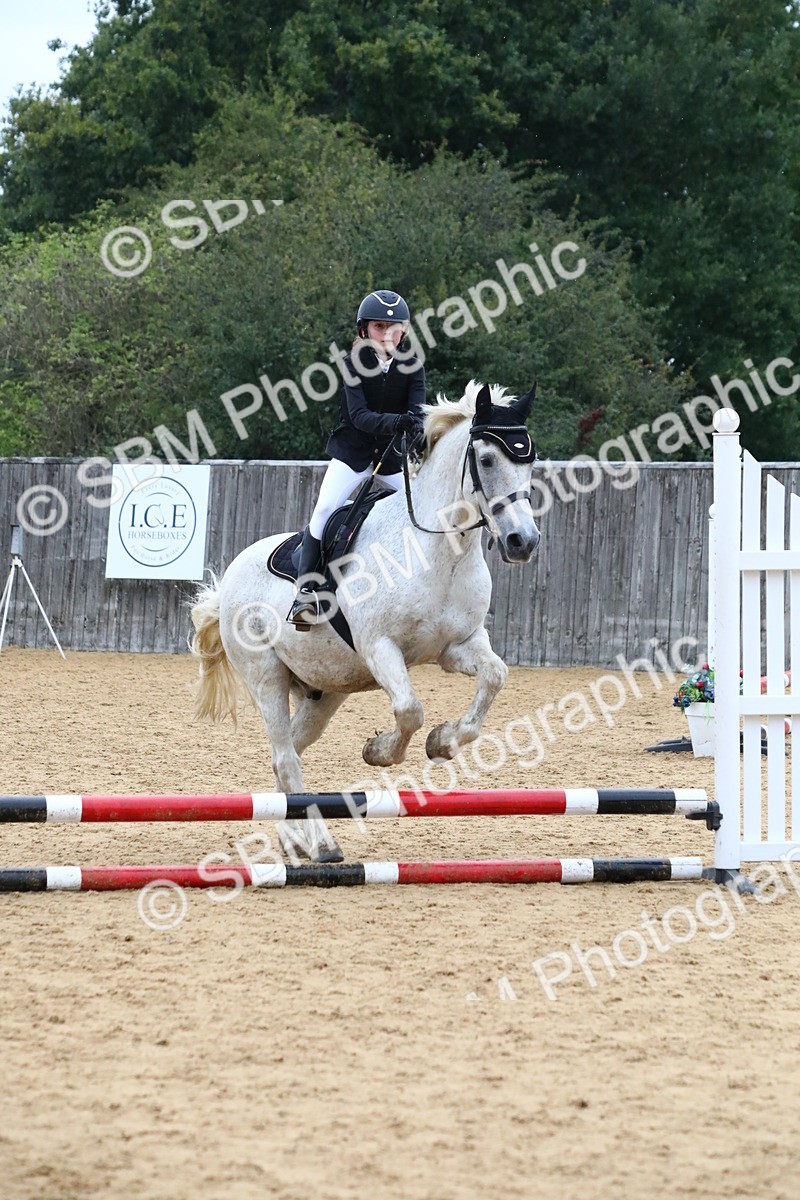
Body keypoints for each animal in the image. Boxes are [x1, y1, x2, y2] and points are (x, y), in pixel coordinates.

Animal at [189, 380, 540, 861]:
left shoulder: (457, 646)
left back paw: (293, 839)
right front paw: (379, 751)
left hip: (323, 692)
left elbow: (494, 676)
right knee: (285, 757)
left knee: (287, 754)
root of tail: (230, 580)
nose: (523, 541)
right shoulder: (380, 648)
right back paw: (322, 844)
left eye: (531, 460)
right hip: (266, 678)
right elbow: (409, 709)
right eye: (486, 459)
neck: (438, 551)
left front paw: (443, 741)